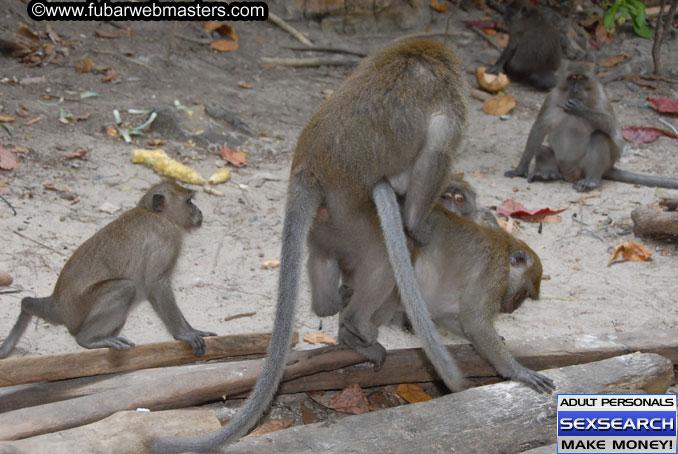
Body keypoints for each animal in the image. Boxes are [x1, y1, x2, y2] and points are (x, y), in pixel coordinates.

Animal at [0, 181, 216, 358]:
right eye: (189, 201)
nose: (199, 211)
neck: (153, 213)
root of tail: (57, 304)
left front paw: (192, 330)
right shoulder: (167, 236)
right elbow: (157, 284)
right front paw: (184, 334)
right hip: (81, 309)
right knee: (126, 288)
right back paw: (88, 340)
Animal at [151, 39, 470, 454]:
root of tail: (309, 169)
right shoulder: (449, 107)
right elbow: (435, 155)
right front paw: (419, 223)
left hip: (331, 223)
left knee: (325, 262)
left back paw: (334, 308)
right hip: (354, 217)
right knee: (383, 263)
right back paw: (356, 326)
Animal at [508, 60, 678, 192]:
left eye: (582, 78)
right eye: (572, 78)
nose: (574, 89)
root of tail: (570, 171)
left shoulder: (601, 97)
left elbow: (611, 127)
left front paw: (581, 110)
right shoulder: (552, 97)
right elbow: (539, 128)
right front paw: (520, 169)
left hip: (591, 165)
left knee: (599, 137)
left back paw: (591, 181)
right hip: (560, 163)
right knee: (541, 149)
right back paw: (547, 175)